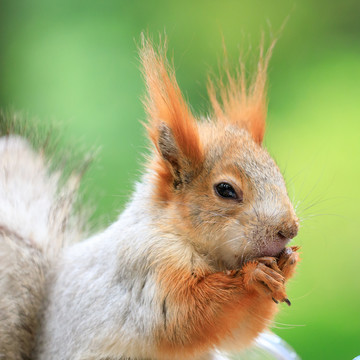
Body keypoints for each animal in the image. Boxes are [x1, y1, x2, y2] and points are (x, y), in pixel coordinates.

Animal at [0, 35, 300, 360]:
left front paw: (288, 262)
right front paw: (253, 276)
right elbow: (188, 316)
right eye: (225, 190)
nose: (289, 229)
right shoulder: (149, 266)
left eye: (277, 172)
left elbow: (239, 332)